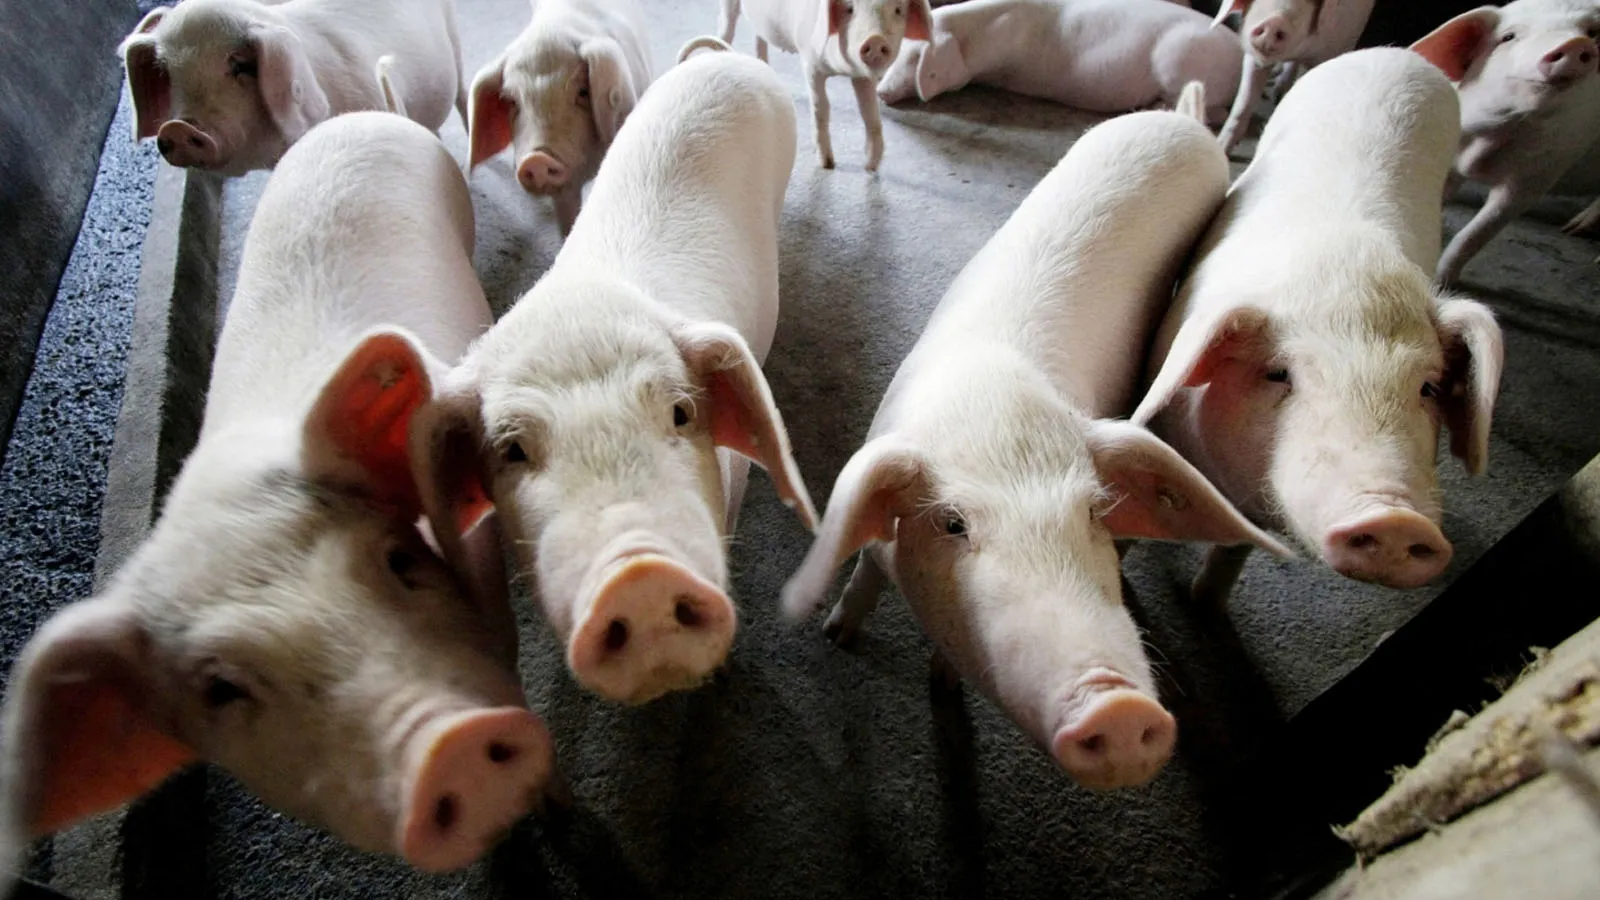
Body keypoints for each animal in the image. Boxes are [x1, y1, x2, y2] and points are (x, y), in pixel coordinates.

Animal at [715, 0, 935, 170]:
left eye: (898, 10)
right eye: (849, 8)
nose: (875, 39)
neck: (840, 69)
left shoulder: (863, 76)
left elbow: (869, 113)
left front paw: (871, 166)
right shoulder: (810, 63)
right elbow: (821, 108)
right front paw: (827, 164)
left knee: (759, 36)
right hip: (729, 7)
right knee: (728, 27)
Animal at [780, 87, 1289, 790]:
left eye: (1094, 513)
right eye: (954, 524)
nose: (1119, 706)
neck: (994, 406)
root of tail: (1183, 123)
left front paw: (941, 685)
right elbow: (863, 572)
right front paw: (836, 636)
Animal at [1132, 49, 1505, 609]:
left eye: (1428, 387)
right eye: (1280, 374)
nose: (1395, 518)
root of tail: (1398, 54)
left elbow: (1234, 549)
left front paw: (1206, 603)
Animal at [1411, 0, 1600, 286]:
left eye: (1592, 33)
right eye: (1508, 37)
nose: (1574, 43)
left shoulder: (1536, 178)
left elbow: (1475, 234)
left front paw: (1440, 285)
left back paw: (1577, 235)